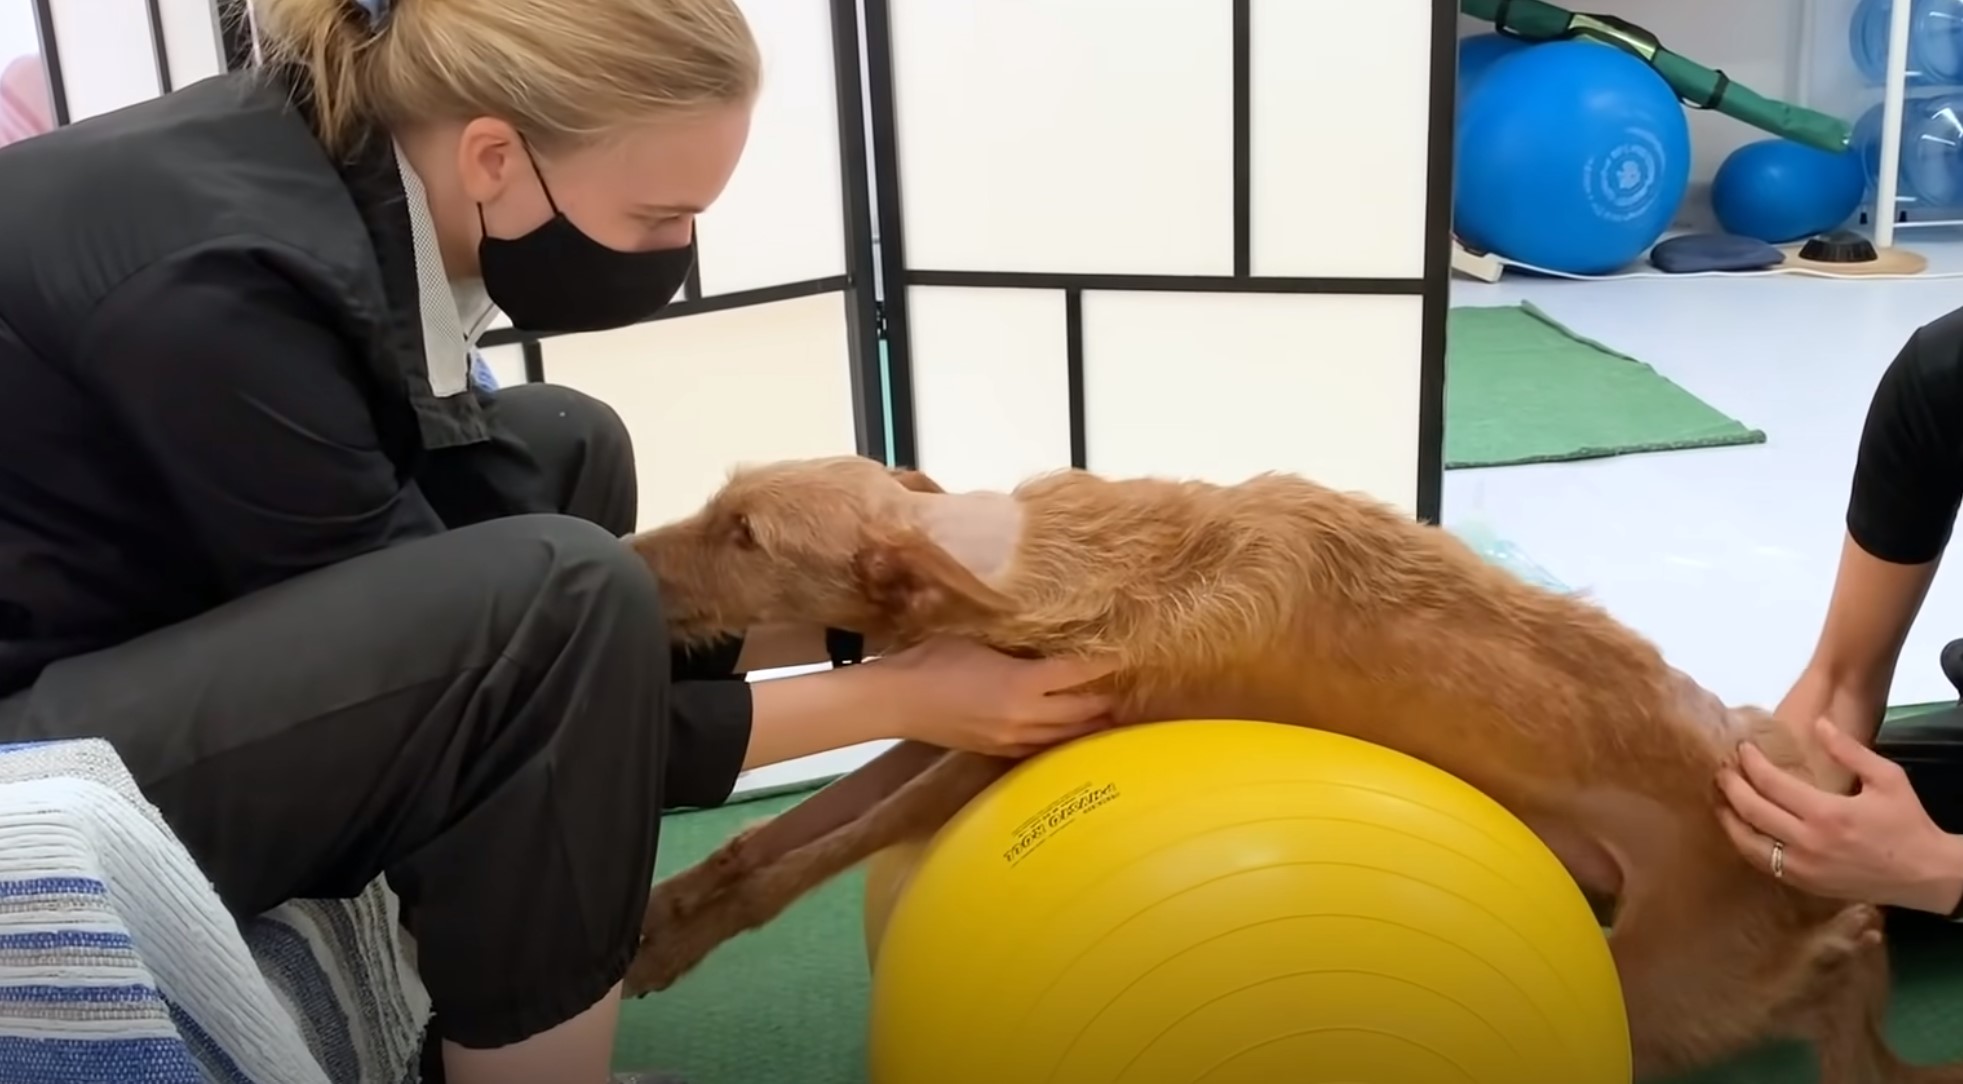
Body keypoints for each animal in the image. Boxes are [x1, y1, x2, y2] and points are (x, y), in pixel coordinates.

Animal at [624, 453, 1947, 1076]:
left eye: (744, 534)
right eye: (722, 504)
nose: (623, 558)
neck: (1035, 559)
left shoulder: (1002, 741)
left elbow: (821, 846)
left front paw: (673, 935)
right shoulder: (952, 708)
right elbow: (773, 834)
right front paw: (667, 910)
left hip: (1658, 989)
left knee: (1838, 955)